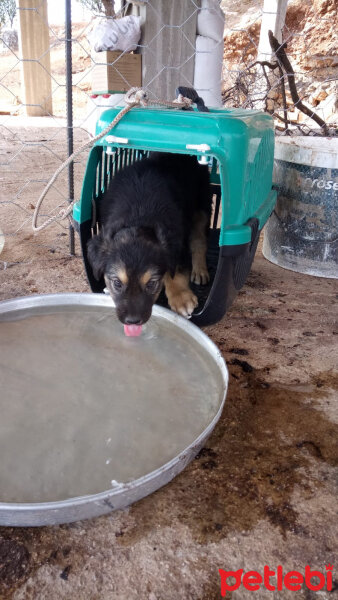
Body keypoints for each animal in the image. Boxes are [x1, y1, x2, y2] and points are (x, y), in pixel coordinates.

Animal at [88, 150, 213, 330]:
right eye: (117, 283)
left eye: (151, 284)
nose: (132, 321)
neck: (138, 216)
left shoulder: (177, 241)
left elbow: (175, 271)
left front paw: (181, 297)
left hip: (201, 204)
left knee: (199, 241)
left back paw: (200, 270)